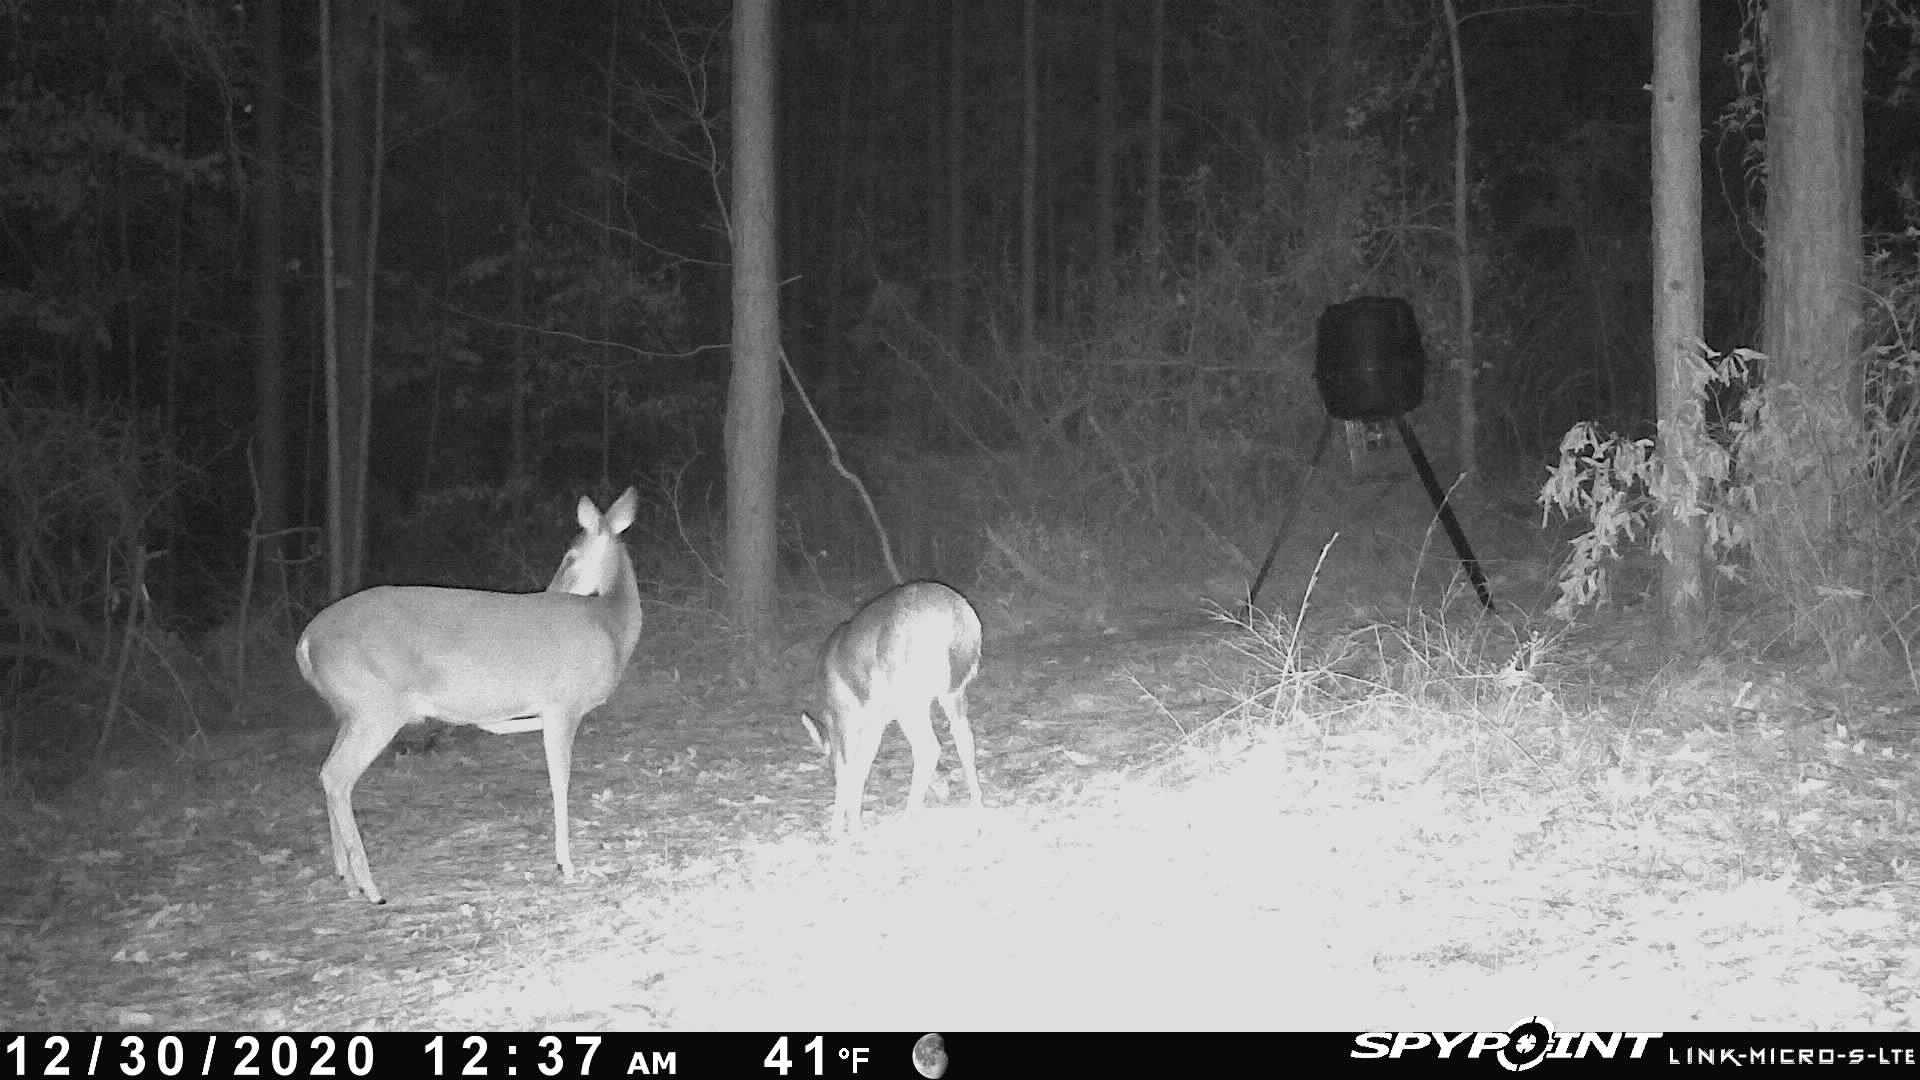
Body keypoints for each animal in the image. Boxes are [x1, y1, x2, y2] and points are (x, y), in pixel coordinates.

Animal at [295, 488, 645, 899]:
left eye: (570, 556)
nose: (552, 590)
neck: (611, 628)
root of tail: (306, 642)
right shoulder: (563, 703)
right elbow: (560, 780)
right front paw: (566, 863)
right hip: (375, 707)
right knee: (337, 776)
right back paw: (370, 887)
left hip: (350, 711)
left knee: (326, 771)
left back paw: (346, 878)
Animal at [802, 580, 990, 834]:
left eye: (829, 770)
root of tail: (958, 616)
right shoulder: (874, 721)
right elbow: (862, 766)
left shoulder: (845, 716)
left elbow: (848, 767)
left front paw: (842, 829)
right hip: (953, 691)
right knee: (965, 741)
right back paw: (977, 811)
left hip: (909, 696)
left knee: (928, 748)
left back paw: (908, 819)